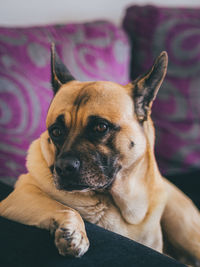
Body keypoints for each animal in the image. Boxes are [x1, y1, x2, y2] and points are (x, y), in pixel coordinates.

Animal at [0, 44, 199, 266]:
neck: (114, 202)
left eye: (100, 127)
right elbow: (65, 208)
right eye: (56, 131)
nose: (63, 167)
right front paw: (73, 232)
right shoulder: (20, 196)